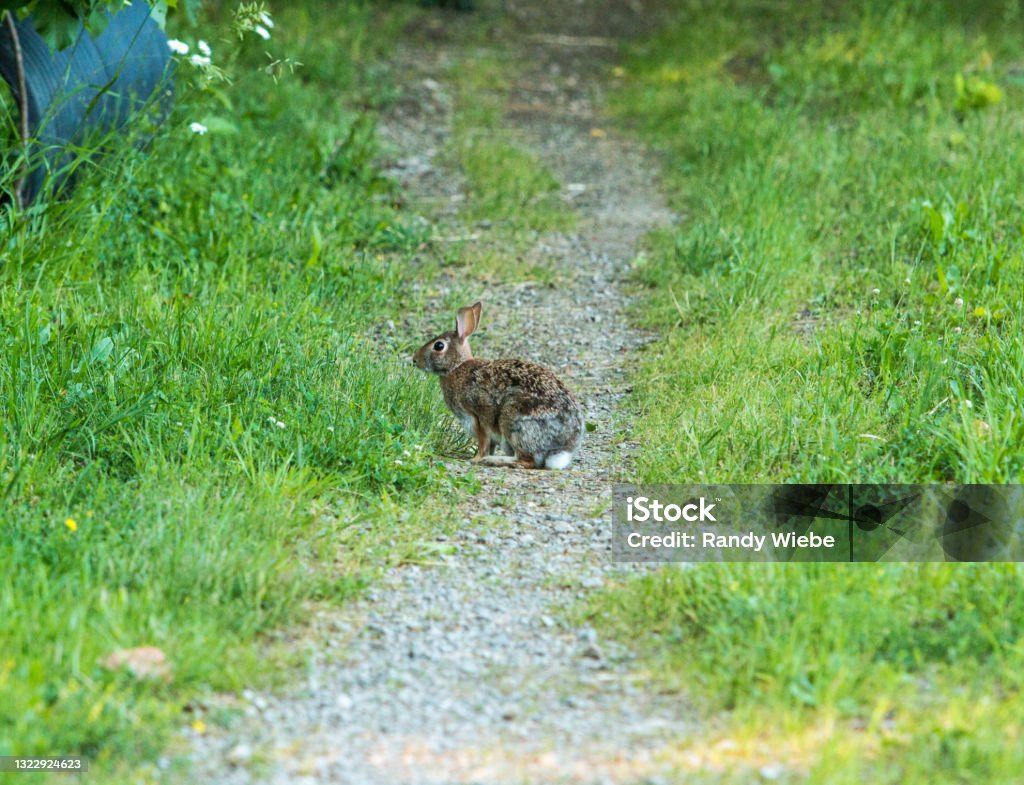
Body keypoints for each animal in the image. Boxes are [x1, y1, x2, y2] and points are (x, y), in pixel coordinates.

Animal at [413, 301, 583, 469]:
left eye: (439, 346)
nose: (415, 360)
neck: (456, 366)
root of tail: (564, 446)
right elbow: (491, 445)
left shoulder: (478, 418)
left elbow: (484, 443)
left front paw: (475, 459)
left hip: (513, 418)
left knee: (527, 460)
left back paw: (494, 460)